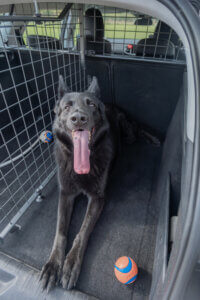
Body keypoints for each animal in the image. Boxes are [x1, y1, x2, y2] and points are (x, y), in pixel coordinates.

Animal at [40, 75, 159, 290]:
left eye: (91, 105)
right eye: (67, 107)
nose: (79, 118)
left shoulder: (97, 198)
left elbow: (82, 232)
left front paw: (70, 264)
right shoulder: (66, 194)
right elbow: (60, 232)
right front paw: (53, 265)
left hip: (127, 127)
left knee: (137, 130)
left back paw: (151, 138)